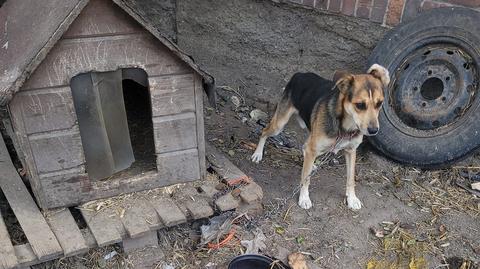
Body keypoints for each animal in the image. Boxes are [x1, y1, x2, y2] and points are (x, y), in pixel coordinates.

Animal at [251, 63, 390, 209]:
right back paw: (257, 154)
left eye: (379, 103)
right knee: (265, 131)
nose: (374, 130)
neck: (344, 127)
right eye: (360, 105)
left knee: (304, 147)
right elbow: (305, 179)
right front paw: (304, 198)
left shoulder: (351, 151)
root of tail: (300, 74)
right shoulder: (313, 148)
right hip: (279, 124)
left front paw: (352, 199)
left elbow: (350, 178)